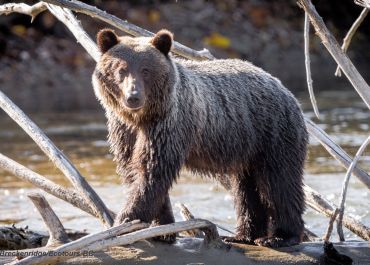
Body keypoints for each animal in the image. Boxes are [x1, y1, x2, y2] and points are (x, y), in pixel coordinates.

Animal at [92, 28, 310, 248]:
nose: (133, 97)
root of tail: (284, 88)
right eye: (121, 69)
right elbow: (133, 168)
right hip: (245, 148)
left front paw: (125, 221)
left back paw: (279, 236)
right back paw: (243, 235)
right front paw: (161, 229)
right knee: (246, 189)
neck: (141, 118)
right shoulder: (124, 130)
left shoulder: (169, 124)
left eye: (146, 70)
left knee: (280, 182)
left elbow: (152, 171)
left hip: (273, 134)